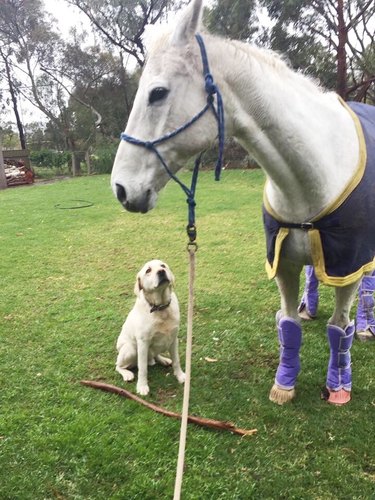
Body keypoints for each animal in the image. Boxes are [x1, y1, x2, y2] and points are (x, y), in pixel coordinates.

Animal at [114, 260, 185, 396]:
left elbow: (176, 360)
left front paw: (180, 376)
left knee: (155, 355)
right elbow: (142, 369)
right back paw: (127, 374)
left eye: (163, 266)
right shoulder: (143, 343)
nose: (161, 272)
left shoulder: (174, 338)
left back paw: (163, 359)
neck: (161, 308)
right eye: (148, 270)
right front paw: (142, 386)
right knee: (118, 365)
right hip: (131, 349)